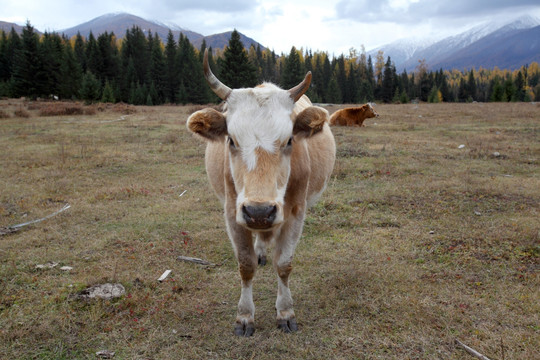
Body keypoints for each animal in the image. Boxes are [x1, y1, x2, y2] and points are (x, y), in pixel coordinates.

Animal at [188, 49, 336, 336]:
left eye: (289, 140)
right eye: (231, 140)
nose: (259, 211)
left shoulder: (296, 211)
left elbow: (284, 263)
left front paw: (285, 312)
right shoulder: (232, 211)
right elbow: (246, 265)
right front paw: (245, 316)